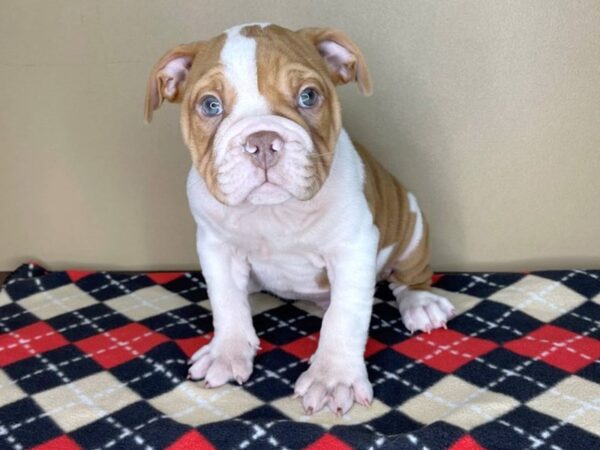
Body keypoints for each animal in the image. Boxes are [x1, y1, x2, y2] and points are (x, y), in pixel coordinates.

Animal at [145, 22, 454, 414]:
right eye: (210, 105)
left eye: (308, 96)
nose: (262, 141)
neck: (274, 211)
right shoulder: (216, 248)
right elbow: (226, 302)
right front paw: (227, 352)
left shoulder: (353, 249)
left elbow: (344, 317)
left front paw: (333, 377)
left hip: (412, 225)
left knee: (408, 277)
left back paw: (421, 303)